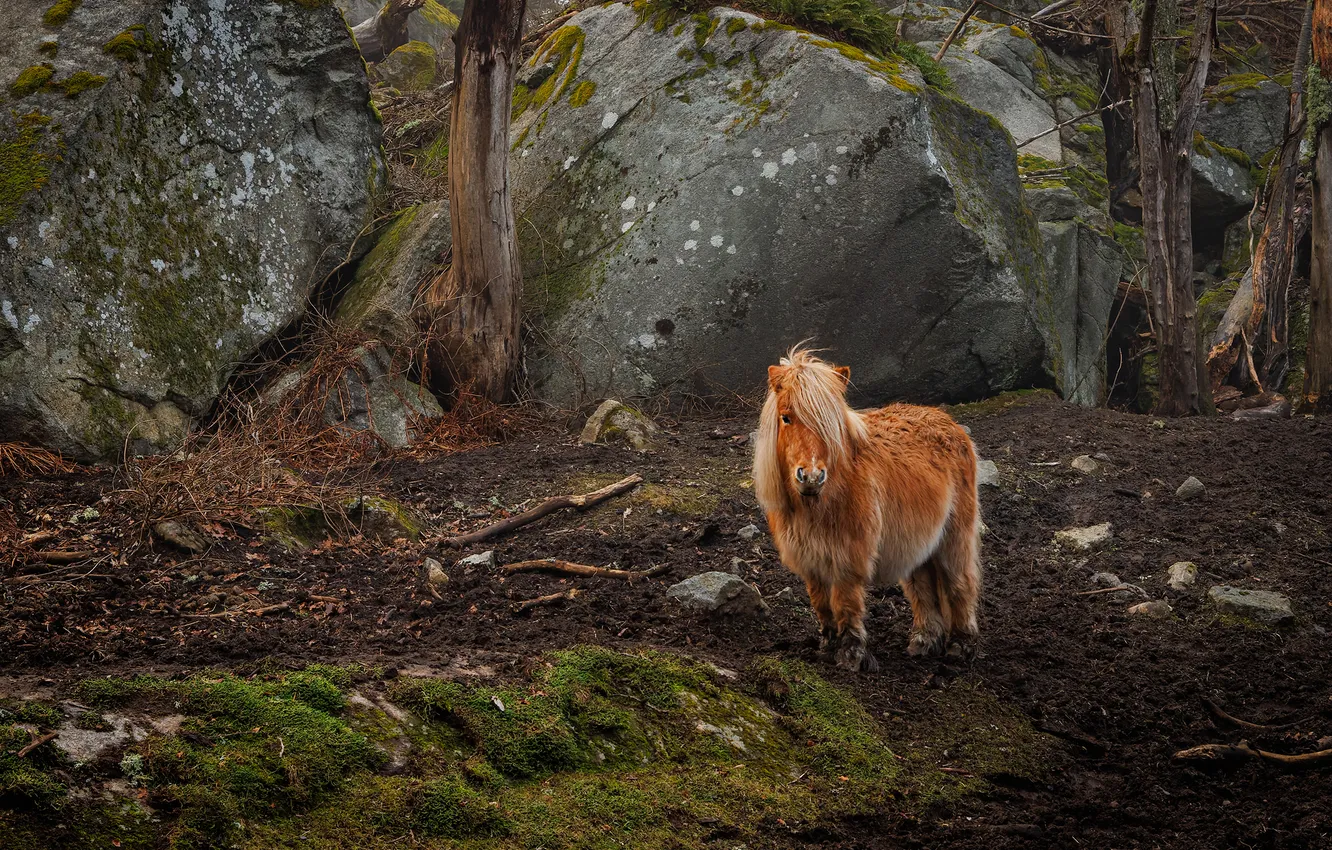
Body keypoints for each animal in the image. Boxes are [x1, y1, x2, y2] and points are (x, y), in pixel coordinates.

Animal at [753, 346, 982, 672]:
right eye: (786, 418)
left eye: (830, 423)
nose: (811, 476)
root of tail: (947, 420)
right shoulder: (812, 561)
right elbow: (822, 605)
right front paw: (827, 647)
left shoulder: (847, 559)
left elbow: (845, 604)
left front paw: (851, 655)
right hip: (919, 543)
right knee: (923, 587)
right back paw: (924, 641)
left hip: (954, 536)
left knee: (960, 582)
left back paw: (961, 645)